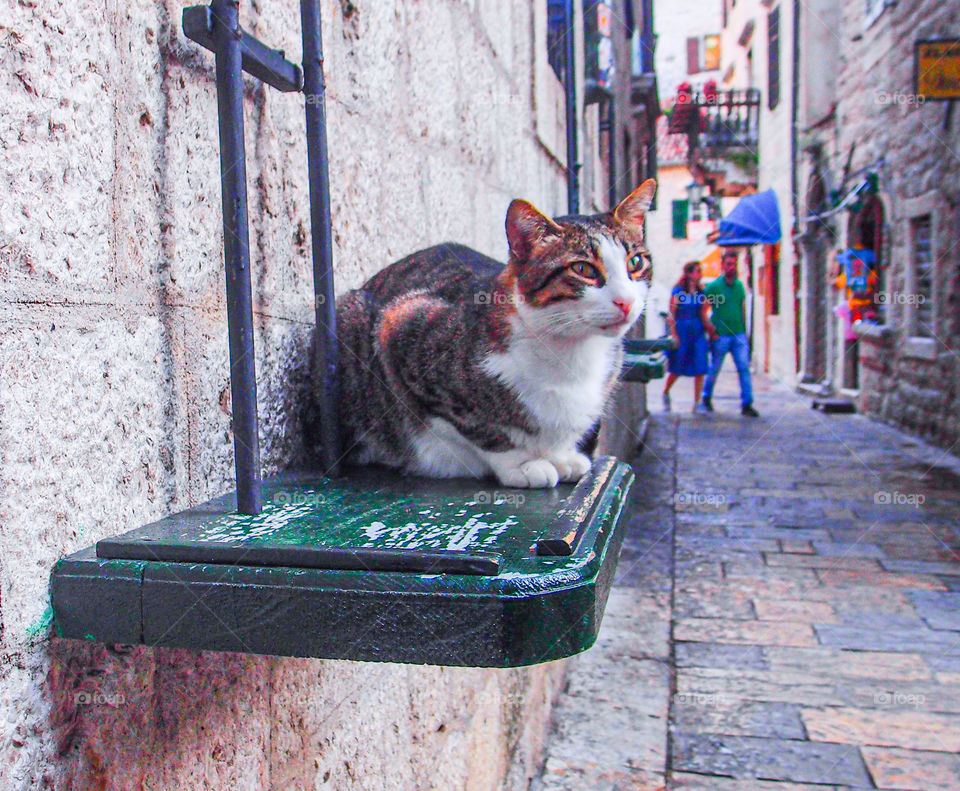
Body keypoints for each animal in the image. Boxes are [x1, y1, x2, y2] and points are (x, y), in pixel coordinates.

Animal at [334, 179, 656, 488]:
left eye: (635, 263)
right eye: (583, 269)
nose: (626, 301)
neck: (572, 352)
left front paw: (561, 456)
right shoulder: (402, 327)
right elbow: (478, 427)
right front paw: (522, 465)